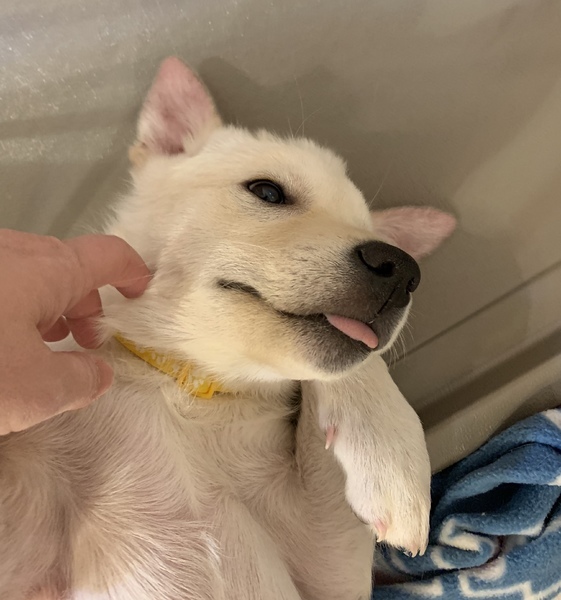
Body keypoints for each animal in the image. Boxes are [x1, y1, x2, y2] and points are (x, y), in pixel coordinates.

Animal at [0, 57, 455, 599]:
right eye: (267, 191)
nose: (403, 270)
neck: (189, 386)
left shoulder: (329, 576)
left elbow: (359, 362)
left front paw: (393, 453)